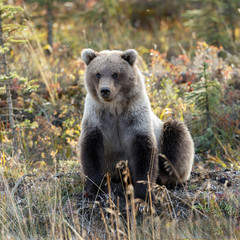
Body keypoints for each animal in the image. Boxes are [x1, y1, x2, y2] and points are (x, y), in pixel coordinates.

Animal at [79, 48, 194, 201]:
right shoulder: (97, 119)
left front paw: (143, 194)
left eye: (115, 74)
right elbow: (91, 151)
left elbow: (143, 153)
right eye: (97, 74)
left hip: (165, 133)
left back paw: (166, 178)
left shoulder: (135, 118)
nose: (105, 90)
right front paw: (94, 191)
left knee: (177, 136)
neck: (114, 108)